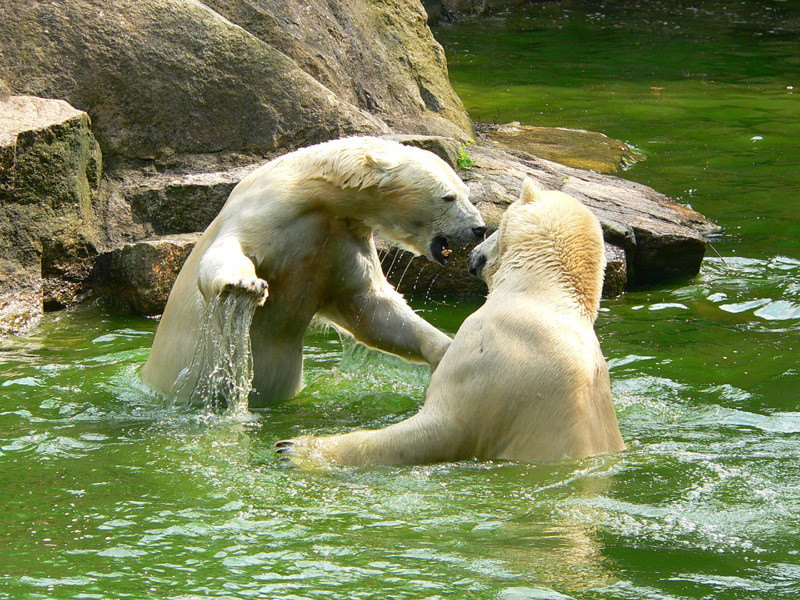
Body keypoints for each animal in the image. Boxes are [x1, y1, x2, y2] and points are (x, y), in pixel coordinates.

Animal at [141, 137, 484, 408]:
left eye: (466, 192)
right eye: (448, 197)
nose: (479, 228)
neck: (315, 193)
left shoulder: (342, 239)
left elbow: (371, 308)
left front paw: (448, 349)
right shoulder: (270, 211)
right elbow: (226, 251)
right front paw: (245, 286)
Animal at [278, 177, 628, 464]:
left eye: (495, 227)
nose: (474, 249)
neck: (542, 293)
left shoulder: (489, 353)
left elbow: (442, 426)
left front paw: (298, 449)